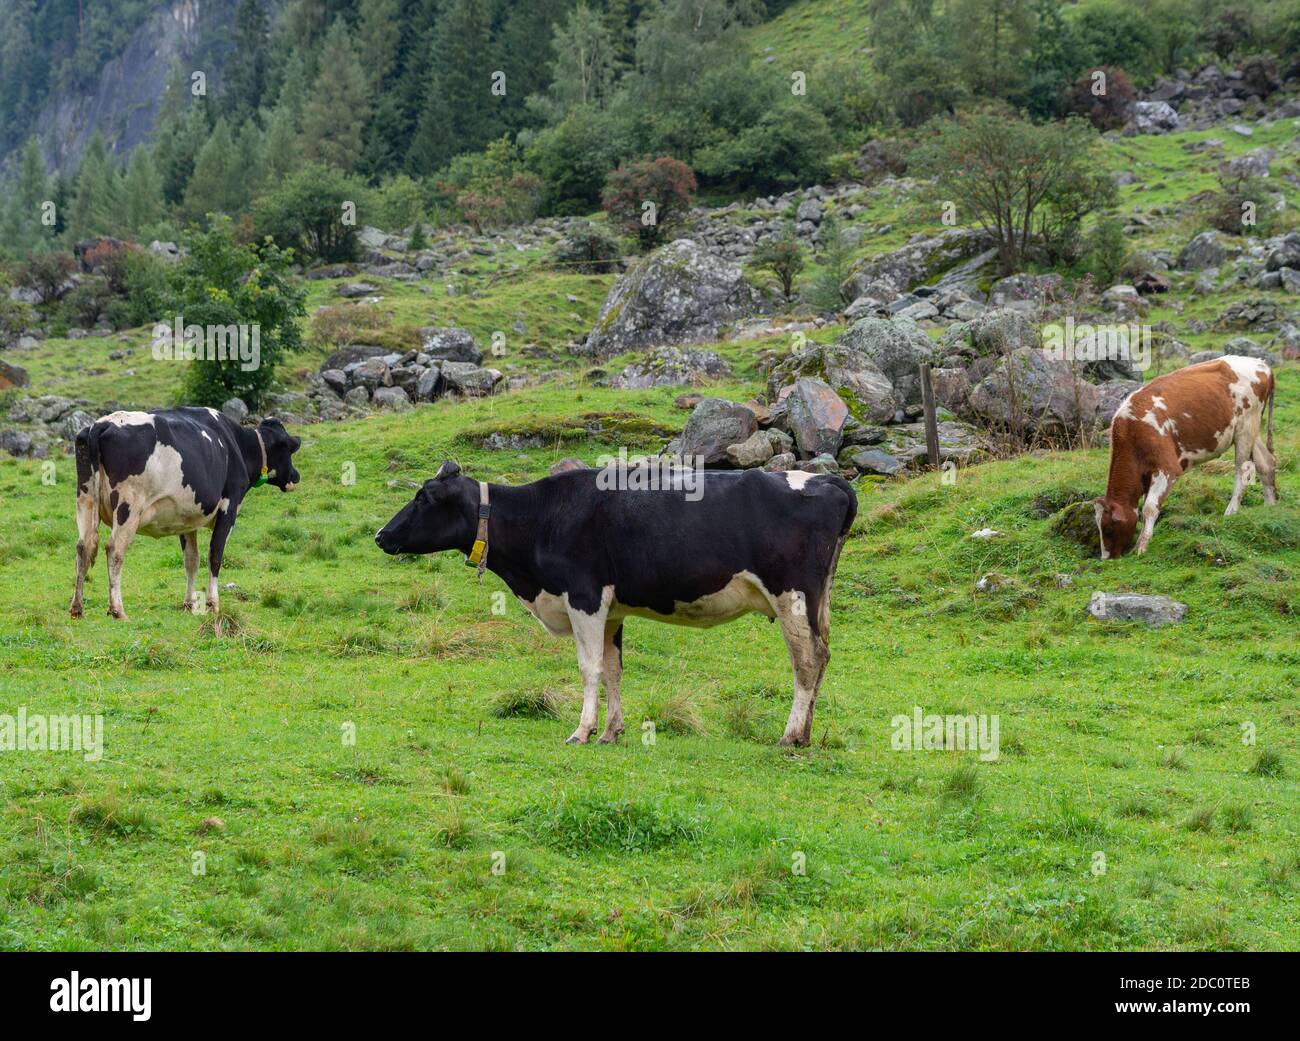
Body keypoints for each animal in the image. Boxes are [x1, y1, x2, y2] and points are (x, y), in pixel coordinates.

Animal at [70, 407, 301, 619]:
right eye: (289, 449)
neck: (237, 445)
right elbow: (215, 556)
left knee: (83, 547)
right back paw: (117, 610)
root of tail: (102, 424)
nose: (296, 476)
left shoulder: (187, 518)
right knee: (114, 550)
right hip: (129, 506)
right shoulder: (229, 508)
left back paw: (77, 608)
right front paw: (212, 604)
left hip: (85, 499)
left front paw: (189, 603)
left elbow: (191, 560)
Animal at [375, 461, 858, 746]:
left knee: (807, 660)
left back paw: (790, 735)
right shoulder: (612, 609)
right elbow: (613, 669)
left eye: (422, 497)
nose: (381, 535)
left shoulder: (584, 597)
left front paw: (582, 730)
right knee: (824, 656)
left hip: (792, 595)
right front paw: (611, 730)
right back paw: (806, 733)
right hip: (819, 600)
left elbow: (589, 668)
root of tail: (828, 479)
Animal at [1095, 355, 1277, 559]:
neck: (1131, 431)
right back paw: (1270, 507)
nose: (1106, 558)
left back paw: (1231, 511)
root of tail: (1262, 364)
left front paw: (1141, 547)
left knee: (1243, 472)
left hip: (1245, 428)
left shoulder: (1167, 468)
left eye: (1108, 528)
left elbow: (1149, 507)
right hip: (1251, 431)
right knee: (1266, 463)